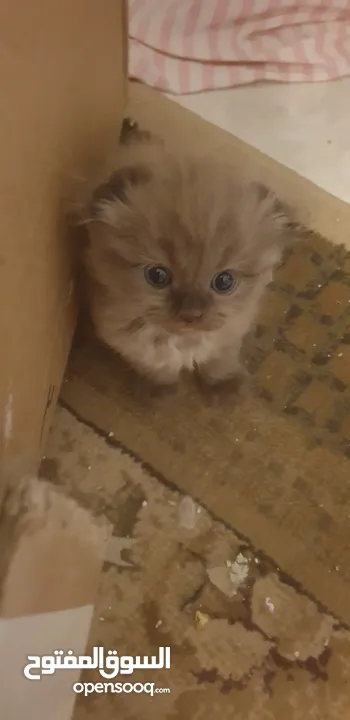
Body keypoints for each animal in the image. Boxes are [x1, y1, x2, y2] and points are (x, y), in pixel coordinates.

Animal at [82, 129, 300, 388]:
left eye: (224, 281)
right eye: (157, 276)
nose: (192, 315)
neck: (184, 341)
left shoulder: (232, 330)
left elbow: (220, 360)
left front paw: (224, 383)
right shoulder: (128, 343)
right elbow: (157, 366)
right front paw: (162, 386)